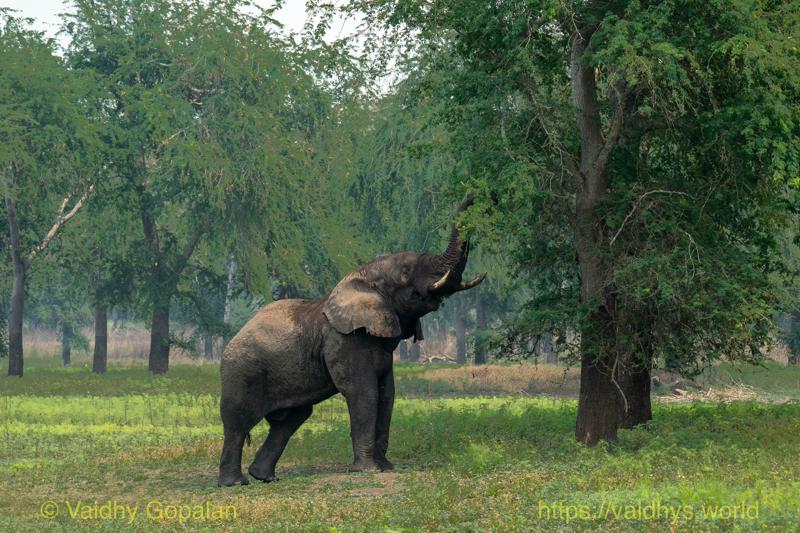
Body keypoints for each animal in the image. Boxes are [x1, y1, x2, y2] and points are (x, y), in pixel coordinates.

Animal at [217, 197, 485, 486]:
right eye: (405, 273)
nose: (474, 196)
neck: (361, 274)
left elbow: (387, 394)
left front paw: (385, 467)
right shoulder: (344, 340)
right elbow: (364, 392)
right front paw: (368, 471)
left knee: (291, 419)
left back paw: (264, 477)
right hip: (242, 370)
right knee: (238, 421)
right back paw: (235, 483)